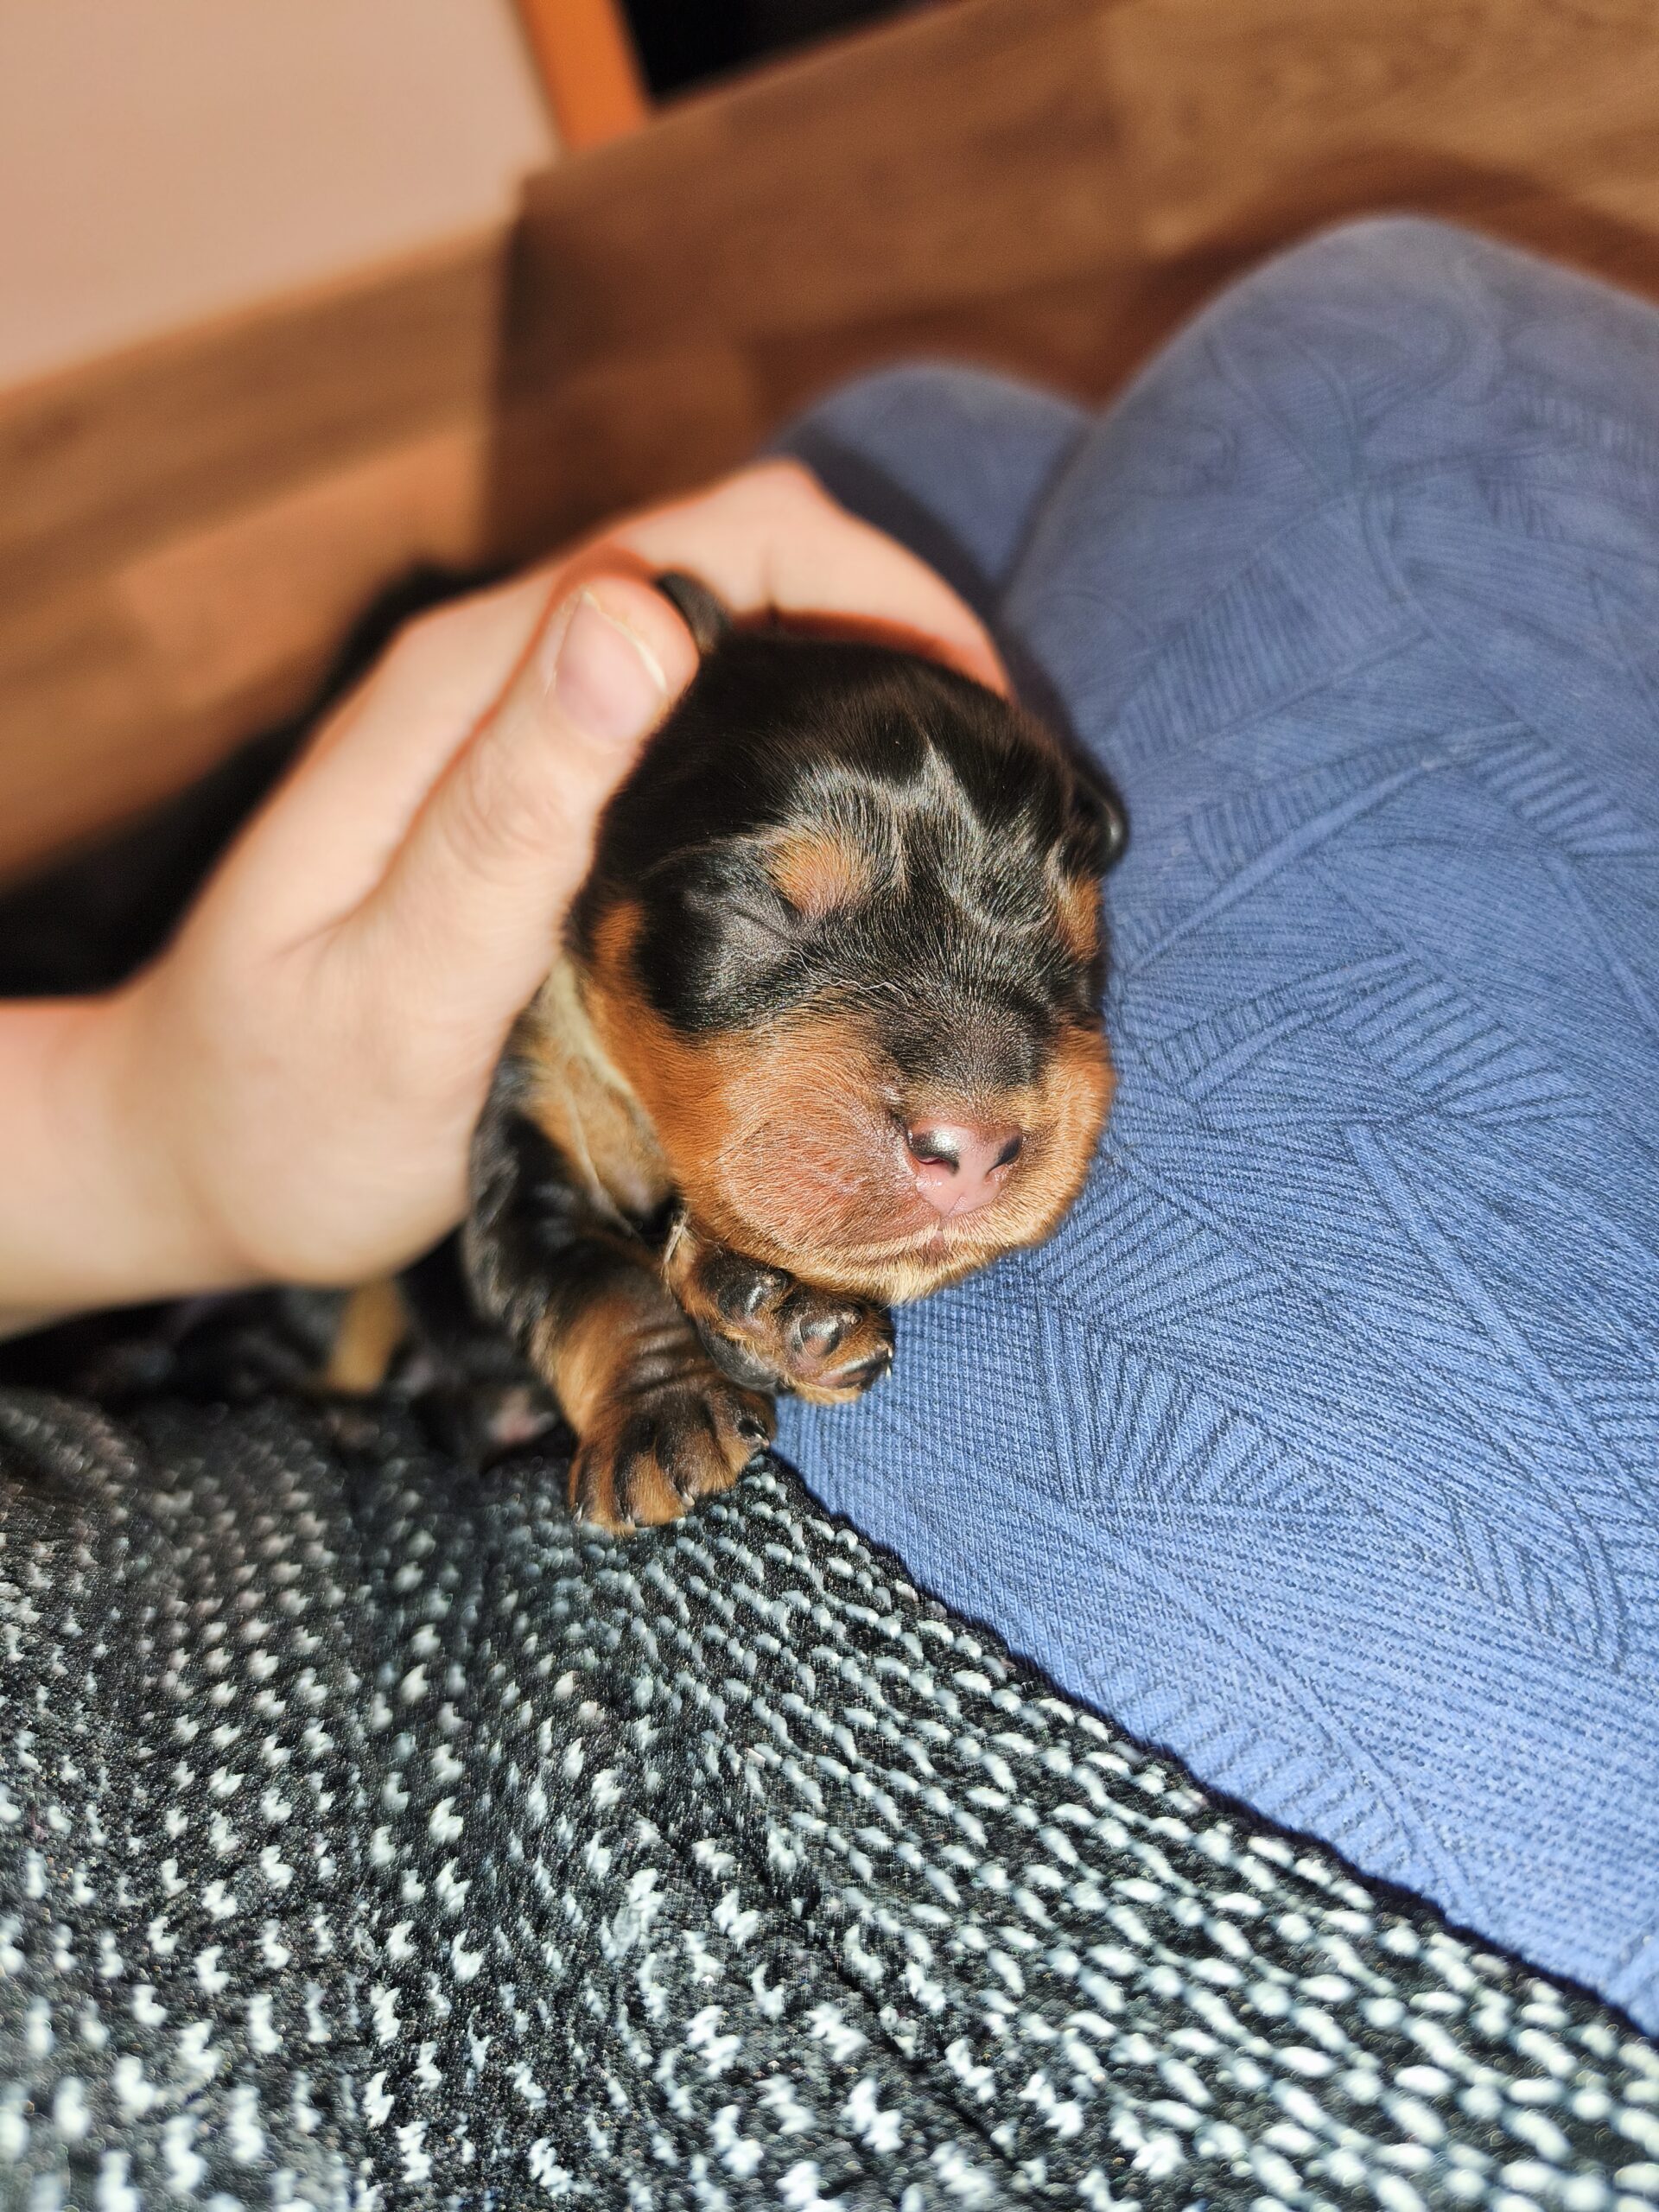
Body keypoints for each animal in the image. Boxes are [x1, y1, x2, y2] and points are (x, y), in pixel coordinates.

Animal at [461, 574, 1125, 1532]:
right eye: (763, 912)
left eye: (1075, 945)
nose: (972, 1154)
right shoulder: (528, 1116)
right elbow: (588, 1274)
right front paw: (664, 1409)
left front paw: (770, 1306)